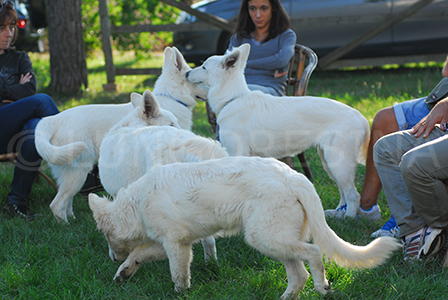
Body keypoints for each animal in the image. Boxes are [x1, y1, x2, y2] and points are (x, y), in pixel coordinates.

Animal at [35, 89, 178, 220]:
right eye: (171, 125)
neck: (136, 125)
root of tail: (51, 119)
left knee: (66, 203)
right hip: (78, 174)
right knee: (57, 205)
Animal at [87, 156, 400, 298]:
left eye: (106, 236)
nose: (110, 257)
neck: (136, 204)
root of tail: (294, 177)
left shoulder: (176, 244)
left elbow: (178, 273)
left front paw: (180, 292)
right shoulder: (173, 241)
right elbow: (138, 253)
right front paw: (124, 271)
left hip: (265, 237)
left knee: (313, 254)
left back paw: (322, 286)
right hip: (275, 239)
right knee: (298, 274)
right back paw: (286, 297)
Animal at [186, 43, 372, 218]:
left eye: (204, 67)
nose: (186, 73)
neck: (233, 99)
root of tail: (360, 116)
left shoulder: (237, 153)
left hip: (338, 163)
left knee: (353, 194)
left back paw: (349, 217)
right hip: (329, 161)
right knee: (343, 191)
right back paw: (339, 214)